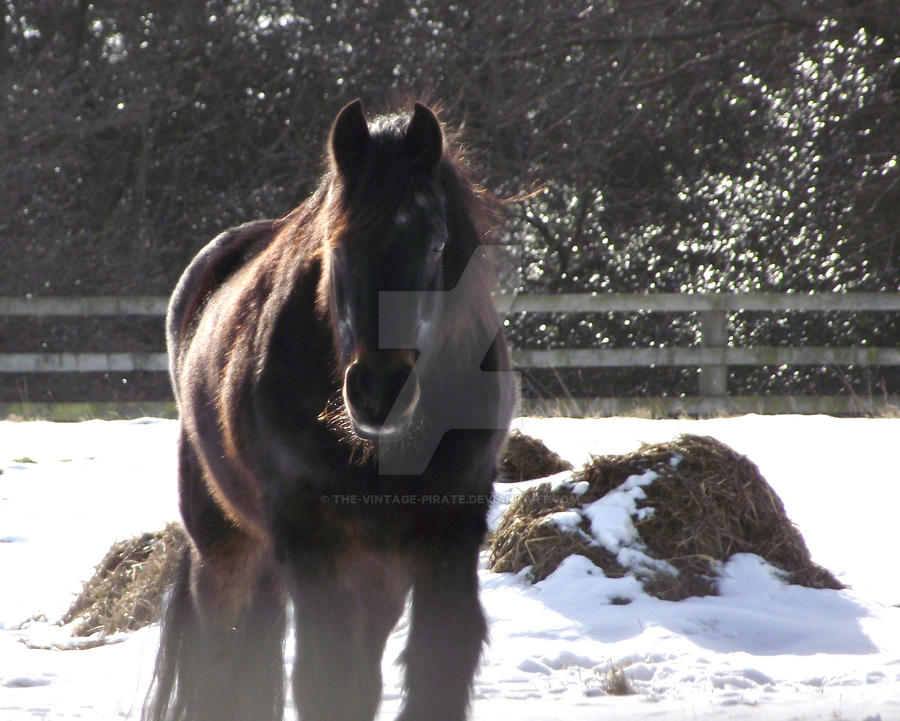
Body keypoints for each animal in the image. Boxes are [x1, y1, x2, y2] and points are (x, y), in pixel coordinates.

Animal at [144, 100, 516, 720]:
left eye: (437, 244)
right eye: (337, 246)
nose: (379, 392)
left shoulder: (450, 535)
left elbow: (436, 665)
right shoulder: (310, 542)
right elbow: (328, 680)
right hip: (226, 547)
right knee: (222, 657)